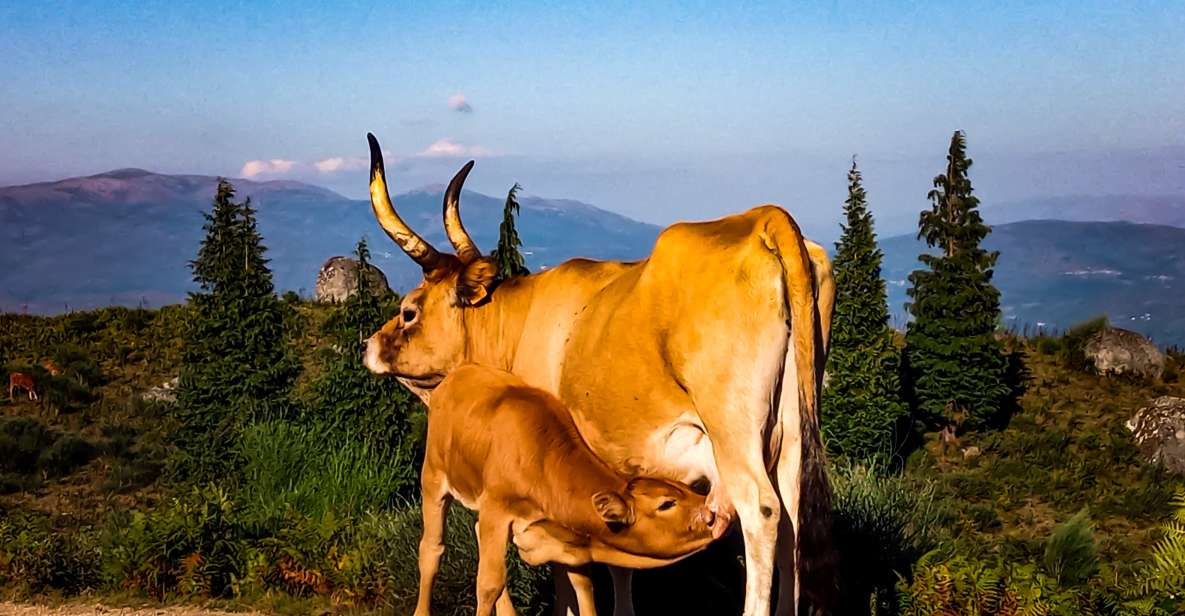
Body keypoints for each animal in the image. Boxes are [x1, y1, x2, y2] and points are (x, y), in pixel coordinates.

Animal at [417, 364, 710, 616]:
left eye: (687, 489)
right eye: (666, 504)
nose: (711, 514)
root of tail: (459, 373)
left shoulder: (566, 536)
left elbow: (583, 584)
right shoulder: (496, 509)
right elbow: (489, 584)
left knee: (476, 533)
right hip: (433, 476)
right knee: (431, 549)